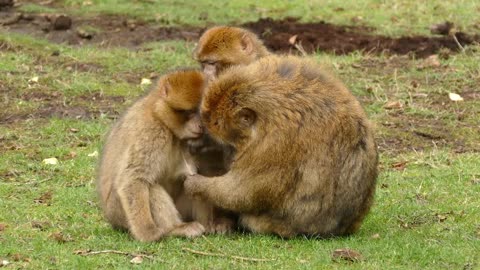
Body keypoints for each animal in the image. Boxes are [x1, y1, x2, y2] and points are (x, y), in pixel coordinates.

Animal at [96, 68, 213, 242]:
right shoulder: (150, 131)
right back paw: (175, 229)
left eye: (202, 112)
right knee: (151, 187)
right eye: (190, 112)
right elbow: (133, 179)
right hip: (119, 213)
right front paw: (147, 232)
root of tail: (111, 219)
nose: (201, 126)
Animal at [184, 55, 378, 238]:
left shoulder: (274, 144)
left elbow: (244, 192)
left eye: (229, 145)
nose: (231, 157)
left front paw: (196, 184)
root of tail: (343, 228)